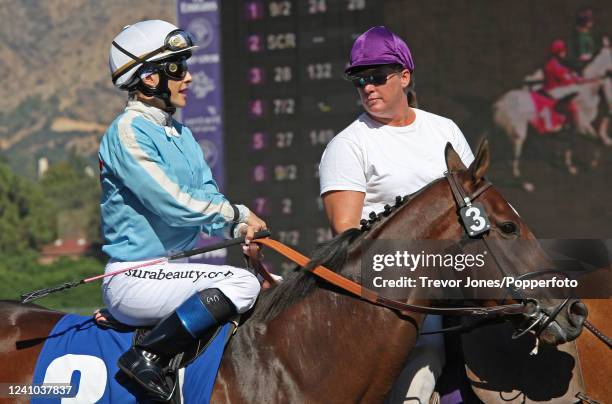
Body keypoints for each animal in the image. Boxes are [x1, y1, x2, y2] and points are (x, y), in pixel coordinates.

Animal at [492, 41, 612, 193]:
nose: (609, 110)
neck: (585, 91)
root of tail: (501, 104)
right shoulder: (582, 125)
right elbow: (595, 140)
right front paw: (593, 163)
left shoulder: (574, 127)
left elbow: (570, 146)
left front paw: (570, 166)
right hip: (519, 136)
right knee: (514, 162)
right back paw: (526, 185)